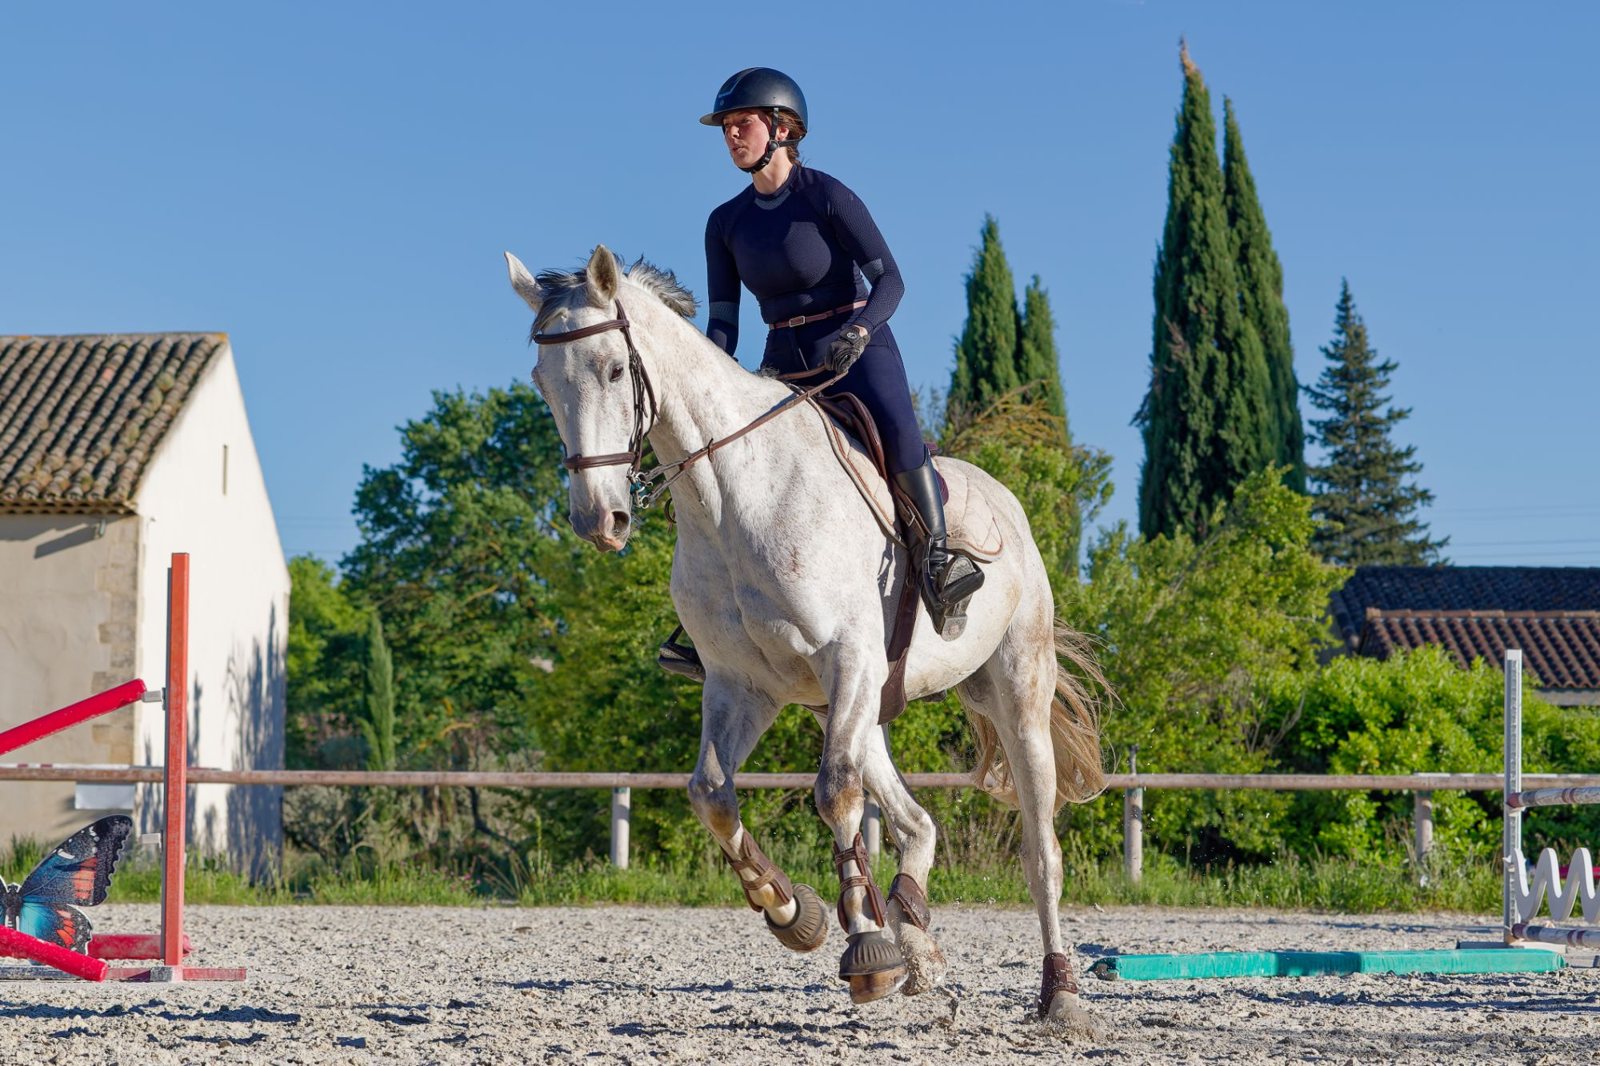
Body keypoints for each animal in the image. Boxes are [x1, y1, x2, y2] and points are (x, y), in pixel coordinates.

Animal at [505, 244, 1106, 1022]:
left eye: (613, 369)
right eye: (543, 382)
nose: (598, 521)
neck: (732, 497)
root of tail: (1007, 502)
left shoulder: (846, 659)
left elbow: (833, 796)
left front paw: (866, 949)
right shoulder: (741, 685)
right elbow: (712, 793)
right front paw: (794, 912)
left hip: (1012, 689)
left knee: (1040, 849)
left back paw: (1057, 993)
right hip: (851, 703)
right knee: (915, 822)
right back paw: (914, 936)